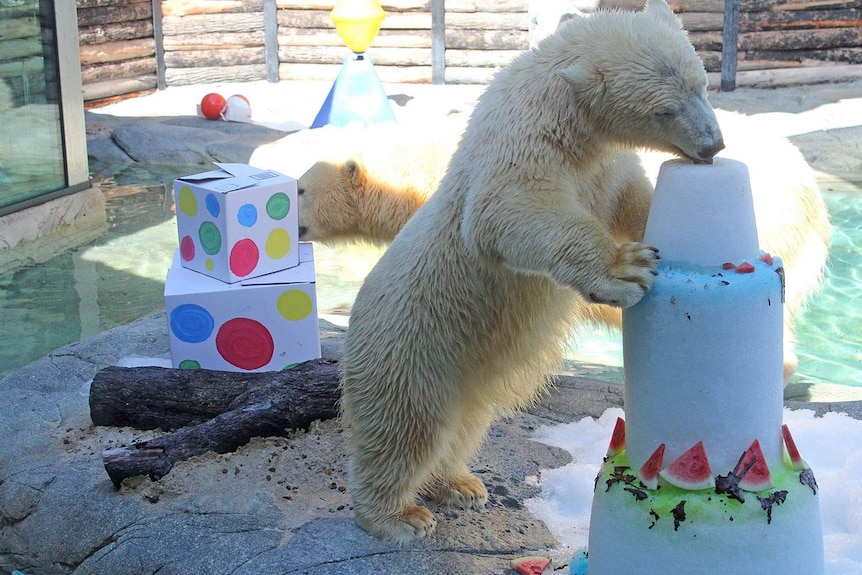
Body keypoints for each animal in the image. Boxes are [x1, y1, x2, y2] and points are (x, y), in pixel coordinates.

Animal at [340, 0, 724, 544]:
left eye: (703, 85)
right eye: (664, 110)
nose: (714, 146)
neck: (570, 112)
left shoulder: (605, 163)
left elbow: (632, 199)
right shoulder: (525, 137)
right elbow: (510, 206)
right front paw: (625, 270)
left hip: (462, 372)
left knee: (465, 426)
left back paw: (459, 484)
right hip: (410, 350)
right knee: (406, 429)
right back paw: (399, 515)